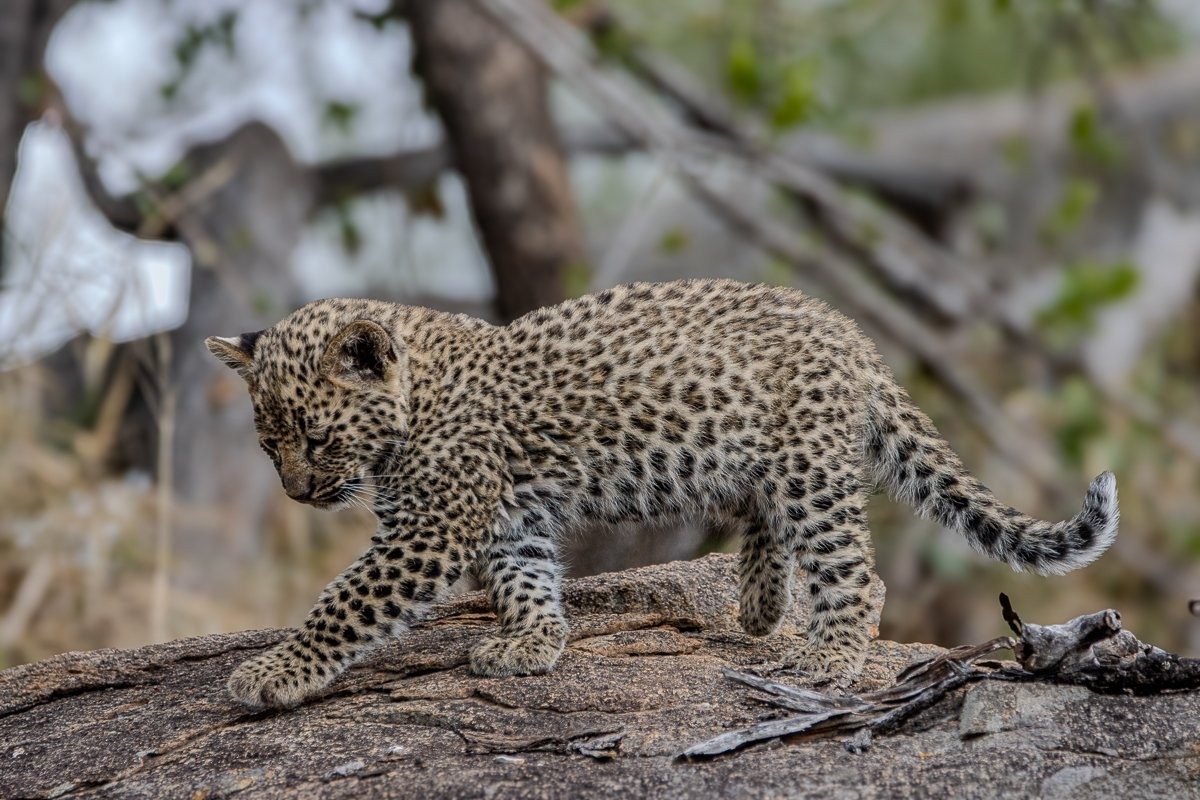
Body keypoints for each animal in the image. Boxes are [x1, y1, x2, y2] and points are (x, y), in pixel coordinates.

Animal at [206, 279, 1118, 709]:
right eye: (268, 445)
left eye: (317, 439)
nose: (299, 494)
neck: (418, 400)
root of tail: (851, 333)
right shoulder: (504, 520)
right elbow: (524, 580)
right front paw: (532, 642)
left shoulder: (432, 526)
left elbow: (346, 602)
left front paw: (272, 673)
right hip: (768, 463)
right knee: (767, 522)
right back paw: (758, 606)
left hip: (809, 468)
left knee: (856, 572)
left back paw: (826, 655)